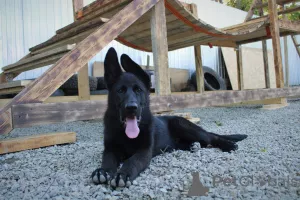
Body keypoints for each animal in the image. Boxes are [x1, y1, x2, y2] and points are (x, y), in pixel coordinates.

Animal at [91, 47, 246, 188]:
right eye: (120, 91)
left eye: (138, 90)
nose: (131, 108)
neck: (126, 134)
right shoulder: (110, 149)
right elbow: (107, 160)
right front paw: (103, 171)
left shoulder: (144, 151)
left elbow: (132, 161)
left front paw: (123, 174)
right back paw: (192, 146)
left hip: (182, 125)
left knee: (211, 138)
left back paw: (228, 145)